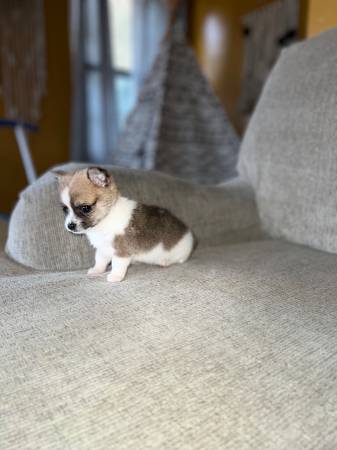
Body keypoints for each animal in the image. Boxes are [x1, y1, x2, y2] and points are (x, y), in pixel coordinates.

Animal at [53, 167, 194, 284]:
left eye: (85, 208)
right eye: (65, 209)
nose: (70, 225)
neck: (105, 220)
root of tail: (189, 234)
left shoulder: (121, 252)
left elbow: (117, 265)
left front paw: (115, 276)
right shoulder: (103, 249)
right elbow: (100, 260)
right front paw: (97, 270)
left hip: (180, 252)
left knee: (180, 259)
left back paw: (165, 261)